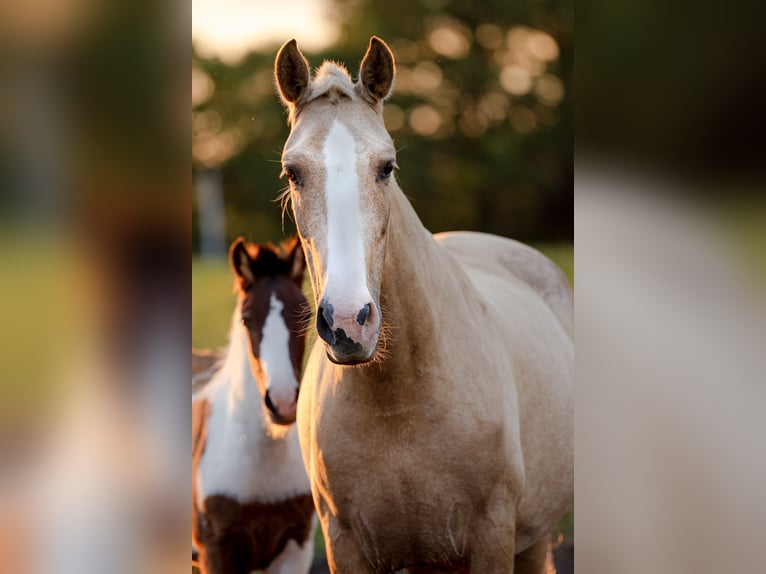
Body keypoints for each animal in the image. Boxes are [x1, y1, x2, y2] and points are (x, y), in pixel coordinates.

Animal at [276, 38, 576, 572]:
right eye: (293, 172)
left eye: (386, 167)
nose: (348, 322)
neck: (399, 398)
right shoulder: (344, 545)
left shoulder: (493, 537)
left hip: (533, 538)